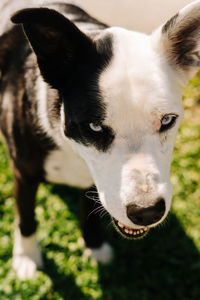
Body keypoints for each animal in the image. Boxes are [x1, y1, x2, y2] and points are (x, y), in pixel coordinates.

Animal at [0, 0, 199, 278]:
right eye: (94, 127)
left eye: (167, 120)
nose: (147, 211)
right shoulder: (23, 175)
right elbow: (26, 218)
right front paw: (27, 258)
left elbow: (90, 212)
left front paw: (93, 245)